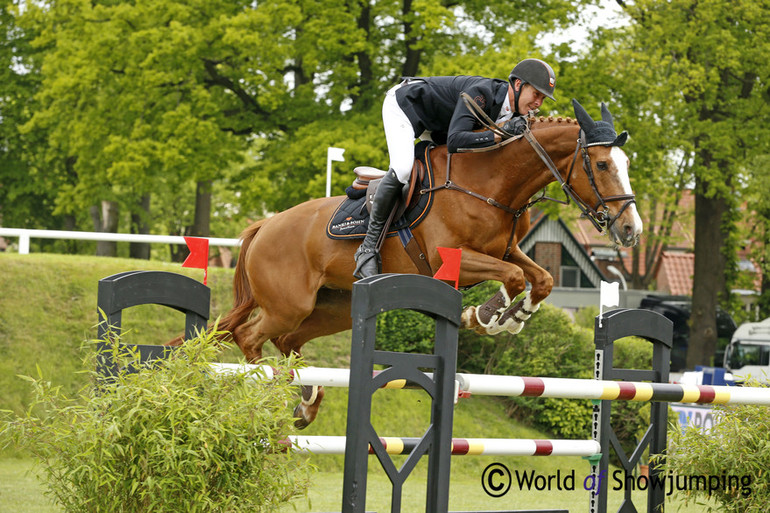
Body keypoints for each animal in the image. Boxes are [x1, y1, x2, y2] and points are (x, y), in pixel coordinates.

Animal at [213, 98, 640, 426]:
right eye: (602, 165)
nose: (631, 229)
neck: (492, 182)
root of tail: (265, 226)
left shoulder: (505, 249)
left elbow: (541, 278)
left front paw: (513, 318)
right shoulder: (449, 260)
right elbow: (516, 277)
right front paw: (482, 317)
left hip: (333, 308)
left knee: (287, 341)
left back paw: (307, 400)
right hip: (289, 305)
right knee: (250, 337)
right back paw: (266, 394)